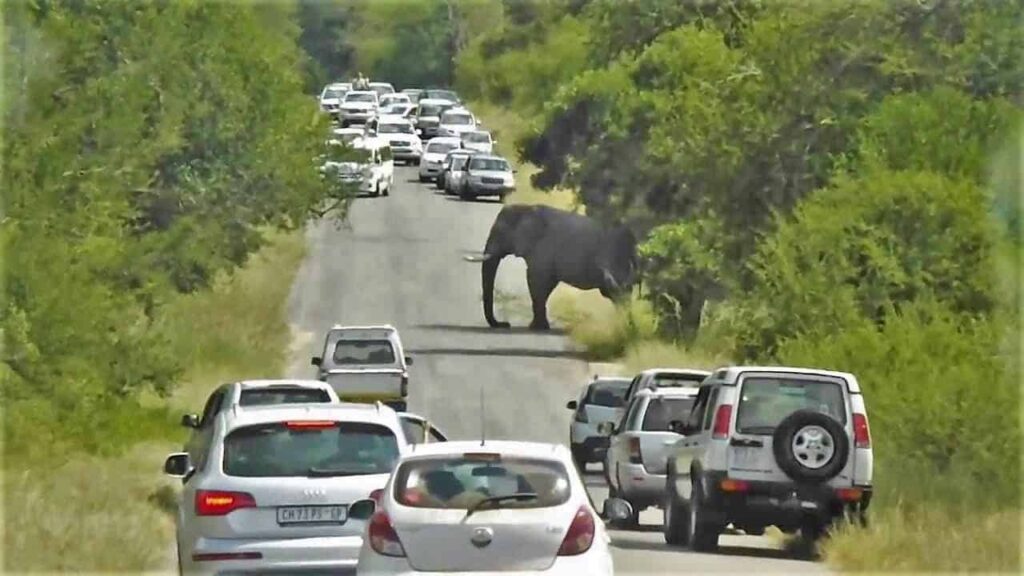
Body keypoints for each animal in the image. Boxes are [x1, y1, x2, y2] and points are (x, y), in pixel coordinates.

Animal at [467, 204, 640, 330]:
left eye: (500, 232)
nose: (504, 324)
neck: (526, 209)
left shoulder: (542, 249)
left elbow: (536, 281)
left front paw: (536, 328)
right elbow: (545, 285)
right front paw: (540, 326)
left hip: (614, 258)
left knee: (618, 292)